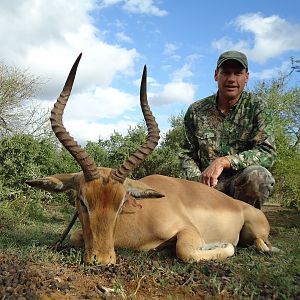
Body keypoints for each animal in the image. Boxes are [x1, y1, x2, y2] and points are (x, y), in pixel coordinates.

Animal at [27, 54, 274, 264]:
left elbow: (186, 251)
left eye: (121, 203)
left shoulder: (189, 231)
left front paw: (223, 246)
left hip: (256, 230)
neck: (139, 217)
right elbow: (74, 236)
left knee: (262, 244)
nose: (103, 260)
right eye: (81, 200)